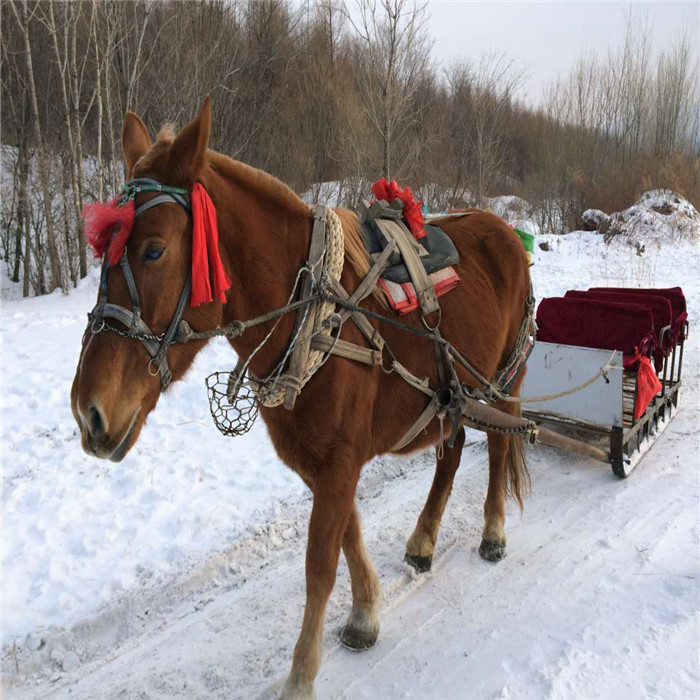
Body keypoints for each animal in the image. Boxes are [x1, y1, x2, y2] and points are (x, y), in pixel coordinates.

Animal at [71, 96, 530, 699]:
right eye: (102, 251)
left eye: (153, 250)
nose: (89, 411)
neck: (313, 316)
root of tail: (506, 229)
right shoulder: (323, 462)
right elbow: (348, 534)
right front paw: (365, 614)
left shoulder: (337, 462)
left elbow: (319, 565)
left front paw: (301, 675)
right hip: (449, 393)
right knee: (450, 455)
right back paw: (425, 538)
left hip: (504, 381)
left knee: (498, 448)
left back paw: (494, 531)